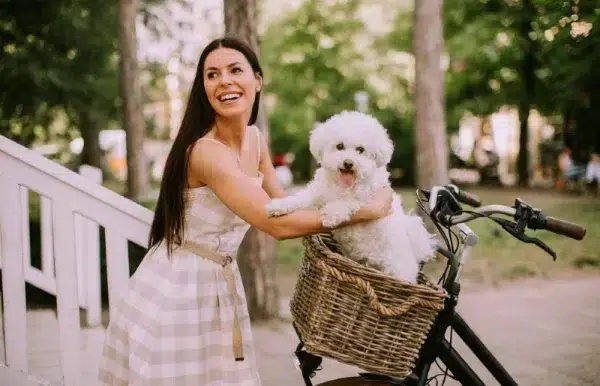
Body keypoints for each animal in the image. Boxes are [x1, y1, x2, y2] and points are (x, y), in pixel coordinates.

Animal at [264, 111, 438, 284]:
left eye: (360, 149)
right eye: (340, 146)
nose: (348, 163)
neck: (341, 186)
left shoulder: (366, 199)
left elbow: (347, 201)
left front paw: (331, 215)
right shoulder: (317, 194)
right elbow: (300, 198)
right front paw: (278, 206)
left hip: (396, 270)